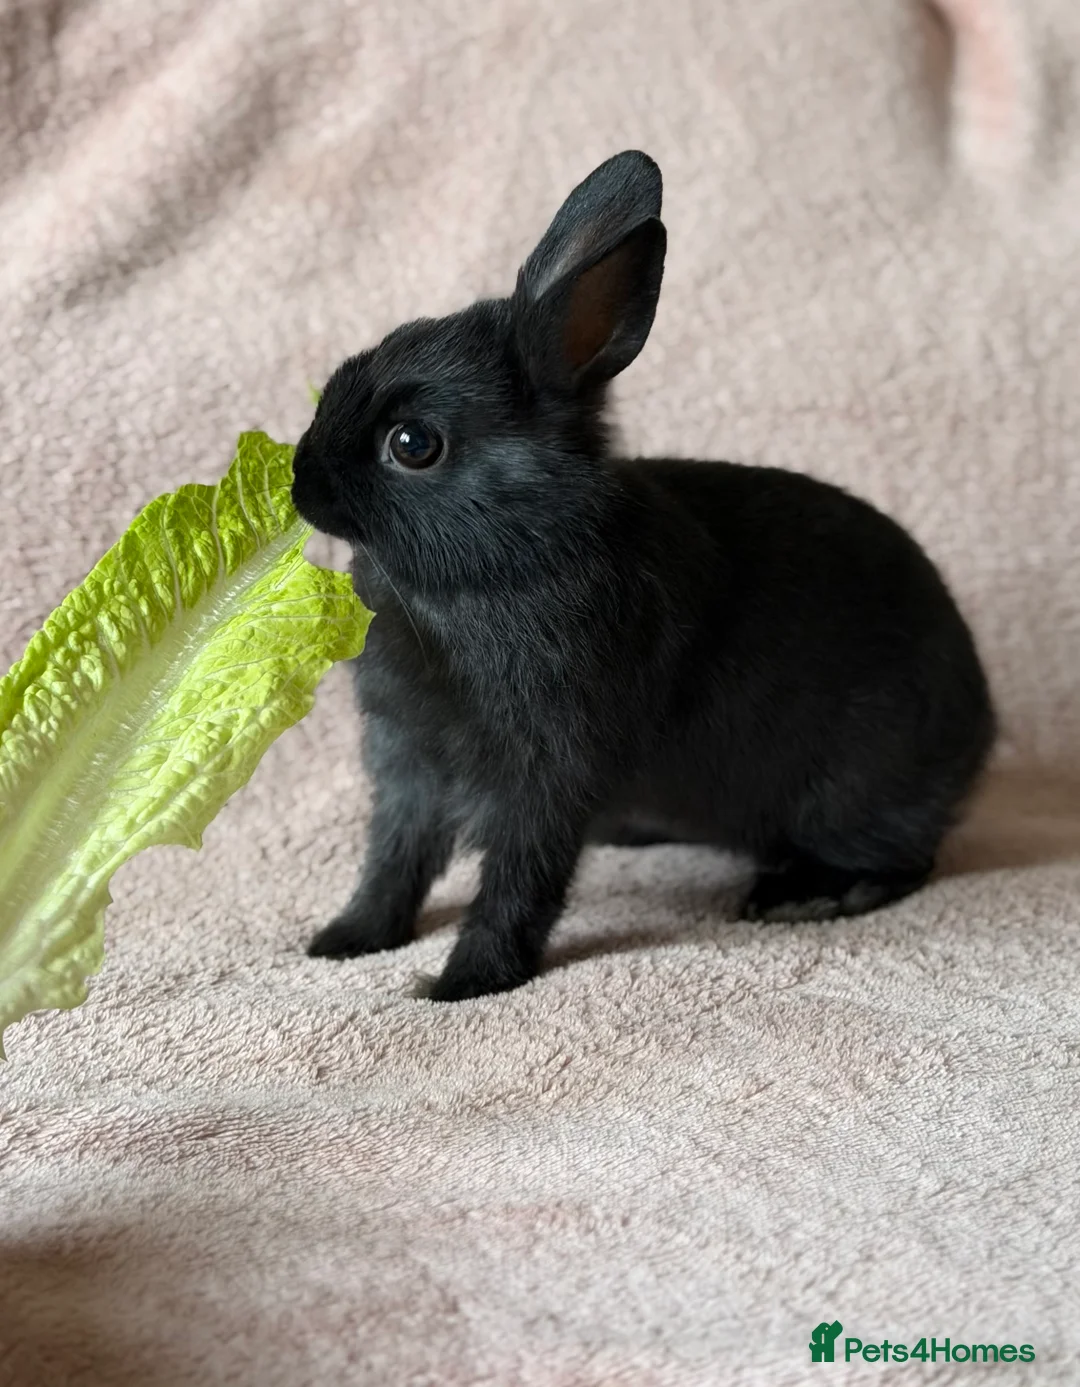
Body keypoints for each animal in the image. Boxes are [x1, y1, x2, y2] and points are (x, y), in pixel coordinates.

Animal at [291, 150, 995, 1003]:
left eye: (414, 443)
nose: (299, 480)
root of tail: (982, 723)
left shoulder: (547, 773)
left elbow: (519, 883)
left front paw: (464, 983)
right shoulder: (407, 771)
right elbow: (393, 864)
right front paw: (344, 940)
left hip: (853, 794)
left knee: (905, 860)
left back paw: (806, 895)